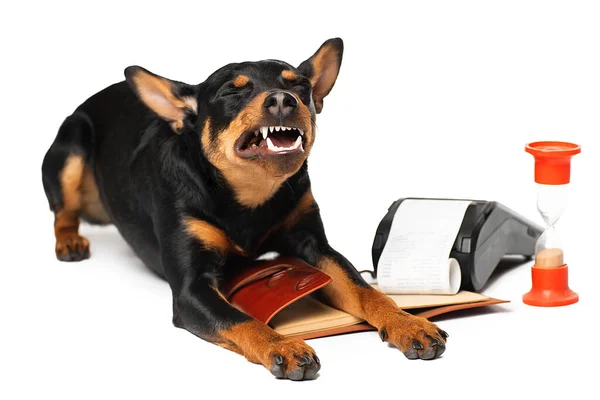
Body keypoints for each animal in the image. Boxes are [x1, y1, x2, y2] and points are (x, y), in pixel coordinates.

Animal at [41, 38, 446, 382]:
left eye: (301, 86)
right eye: (231, 92)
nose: (283, 99)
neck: (249, 195)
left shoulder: (316, 247)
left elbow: (364, 290)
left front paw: (407, 322)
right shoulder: (191, 288)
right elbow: (239, 319)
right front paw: (282, 345)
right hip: (69, 151)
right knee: (63, 211)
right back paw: (70, 242)